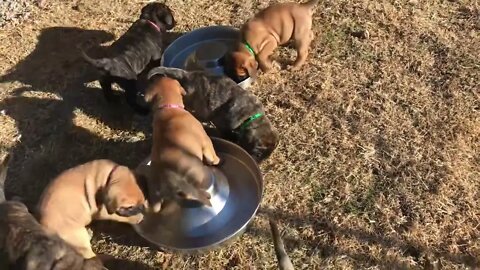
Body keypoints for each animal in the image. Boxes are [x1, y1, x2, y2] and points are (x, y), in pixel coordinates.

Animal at [143, 75, 220, 211]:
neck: (168, 107)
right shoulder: (205, 140)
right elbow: (211, 153)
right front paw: (216, 160)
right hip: (194, 173)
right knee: (191, 194)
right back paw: (205, 194)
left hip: (155, 189)